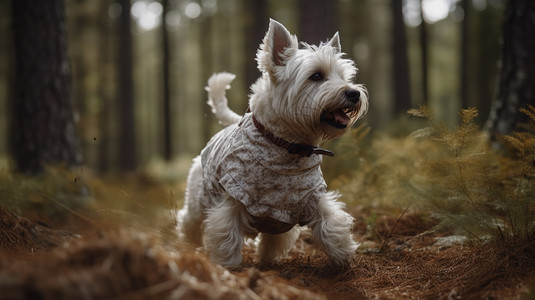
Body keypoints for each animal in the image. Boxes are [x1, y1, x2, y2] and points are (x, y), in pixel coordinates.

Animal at [178, 19, 370, 268]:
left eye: (344, 76)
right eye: (316, 76)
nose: (354, 93)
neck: (287, 146)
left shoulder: (311, 198)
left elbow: (332, 224)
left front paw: (344, 256)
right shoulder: (232, 199)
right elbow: (226, 234)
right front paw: (229, 266)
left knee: (271, 240)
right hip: (197, 200)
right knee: (189, 221)